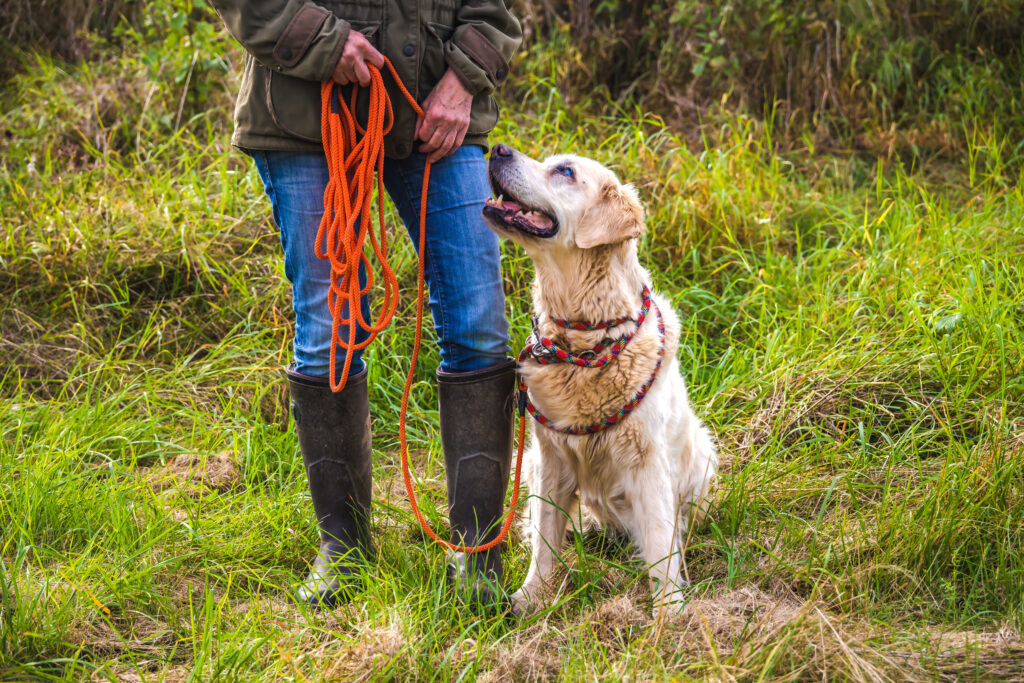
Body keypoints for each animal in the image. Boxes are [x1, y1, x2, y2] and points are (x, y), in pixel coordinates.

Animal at [481, 144, 716, 614]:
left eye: (565, 172)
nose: (497, 148)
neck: (585, 341)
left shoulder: (646, 463)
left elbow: (660, 541)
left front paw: (670, 612)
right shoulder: (550, 458)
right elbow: (544, 540)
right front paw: (531, 597)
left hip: (702, 455)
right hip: (530, 462)